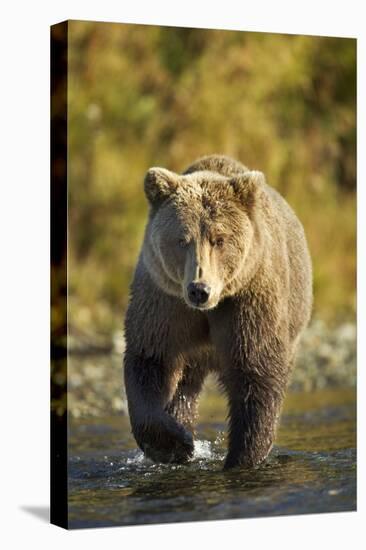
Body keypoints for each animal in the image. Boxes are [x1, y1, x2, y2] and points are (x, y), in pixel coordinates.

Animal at [123, 154, 312, 470]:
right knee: (184, 386)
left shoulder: (248, 301)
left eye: (219, 239)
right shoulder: (165, 301)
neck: (209, 309)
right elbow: (151, 360)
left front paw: (241, 457)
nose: (199, 289)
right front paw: (176, 444)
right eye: (182, 239)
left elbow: (256, 373)